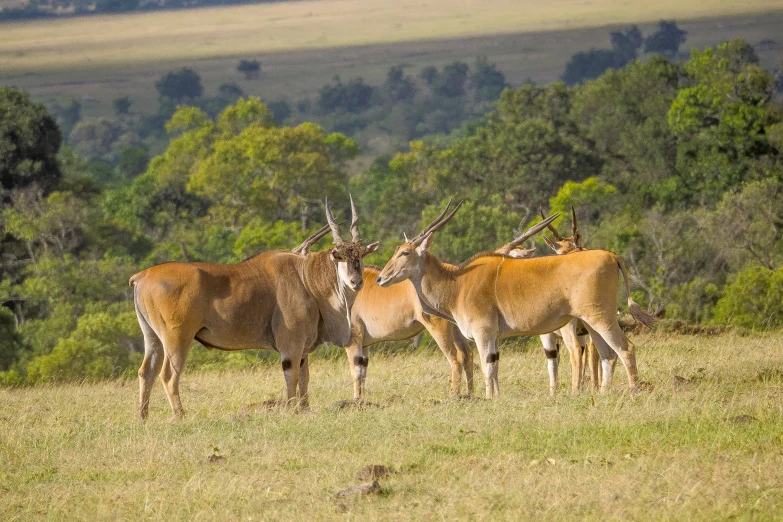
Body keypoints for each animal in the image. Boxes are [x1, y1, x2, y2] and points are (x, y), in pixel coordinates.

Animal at [129, 196, 380, 418]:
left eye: (360, 256)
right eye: (340, 257)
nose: (356, 282)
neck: (306, 278)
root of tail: (142, 276)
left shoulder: (302, 348)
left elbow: (304, 377)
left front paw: (304, 409)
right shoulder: (291, 345)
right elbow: (292, 376)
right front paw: (292, 410)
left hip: (152, 337)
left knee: (146, 372)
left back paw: (143, 417)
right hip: (177, 338)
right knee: (168, 374)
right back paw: (180, 415)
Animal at [378, 201, 656, 396]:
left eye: (404, 253)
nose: (381, 279)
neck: (458, 284)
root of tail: (611, 255)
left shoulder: (483, 333)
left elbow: (486, 366)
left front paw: (489, 398)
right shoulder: (494, 337)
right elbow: (494, 365)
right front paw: (497, 398)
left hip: (600, 318)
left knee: (625, 348)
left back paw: (633, 391)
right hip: (590, 322)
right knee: (607, 355)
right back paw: (604, 394)